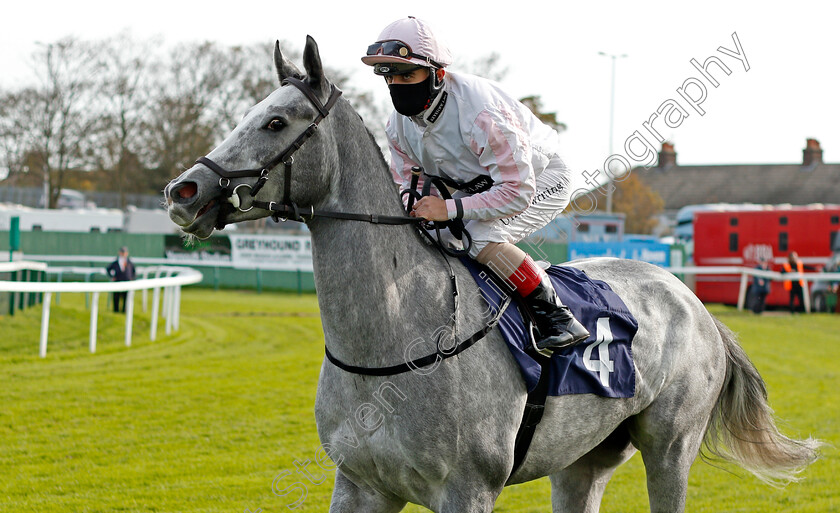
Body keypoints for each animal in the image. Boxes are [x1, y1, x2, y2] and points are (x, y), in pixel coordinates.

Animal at [164, 38, 820, 510]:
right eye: (249, 114)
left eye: (276, 122)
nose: (183, 191)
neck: (394, 341)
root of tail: (693, 302)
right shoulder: (360, 485)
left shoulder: (467, 491)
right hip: (584, 460)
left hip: (669, 449)